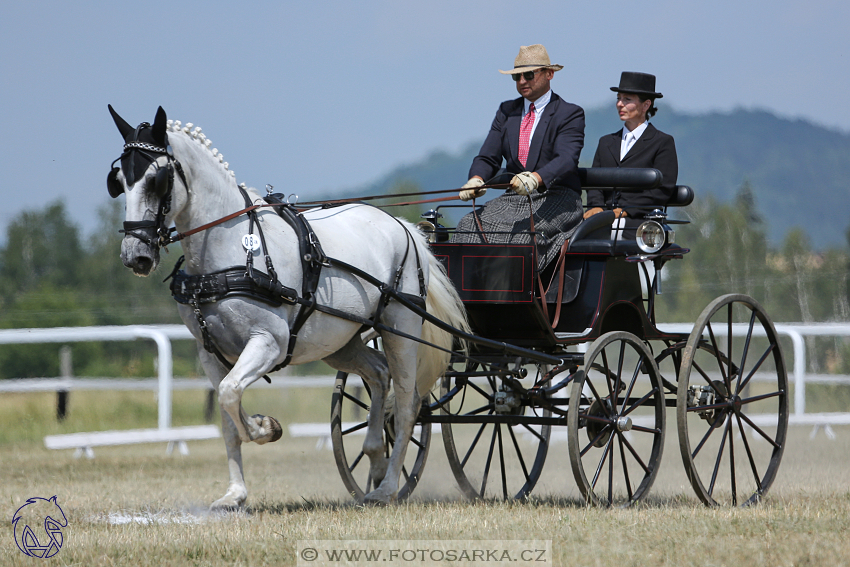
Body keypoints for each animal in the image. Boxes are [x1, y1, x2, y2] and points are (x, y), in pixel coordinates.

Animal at [107, 107, 468, 510]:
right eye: (119, 180)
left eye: (158, 179)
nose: (135, 255)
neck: (230, 251)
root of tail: (406, 229)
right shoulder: (209, 353)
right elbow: (227, 415)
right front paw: (235, 493)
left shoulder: (269, 343)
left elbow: (231, 394)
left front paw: (264, 427)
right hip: (340, 341)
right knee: (378, 374)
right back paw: (376, 456)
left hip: (400, 327)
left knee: (406, 405)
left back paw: (386, 488)